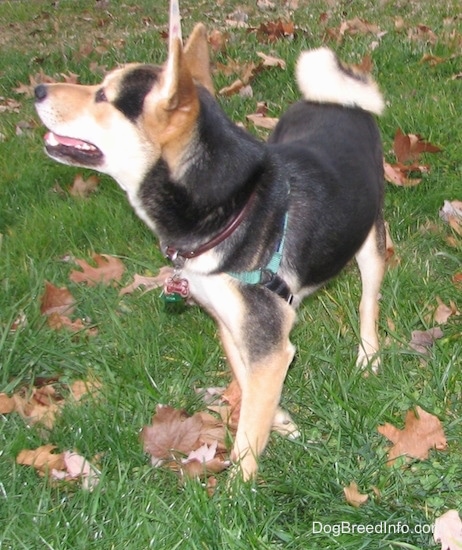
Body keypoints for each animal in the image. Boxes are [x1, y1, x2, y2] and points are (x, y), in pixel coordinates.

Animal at [33, 20, 386, 478]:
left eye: (102, 96)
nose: (38, 89)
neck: (231, 208)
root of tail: (343, 102)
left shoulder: (265, 341)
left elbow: (247, 436)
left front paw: (238, 486)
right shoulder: (232, 325)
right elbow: (248, 386)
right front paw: (281, 421)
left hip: (370, 240)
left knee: (368, 302)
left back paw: (369, 356)